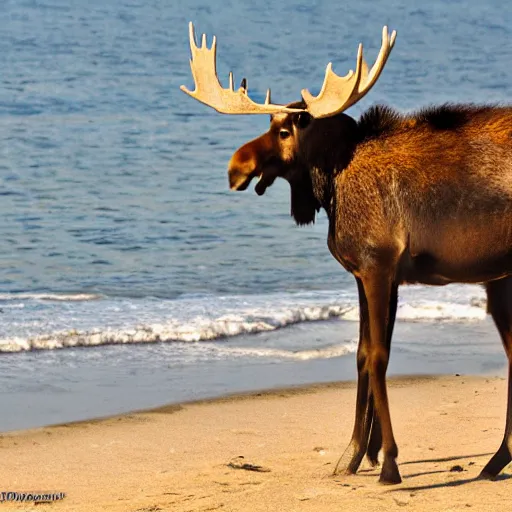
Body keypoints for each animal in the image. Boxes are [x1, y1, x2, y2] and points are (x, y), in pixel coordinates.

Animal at [182, 21, 512, 484]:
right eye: (269, 120)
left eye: (286, 130)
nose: (236, 167)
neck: (331, 185)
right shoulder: (370, 273)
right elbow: (360, 355)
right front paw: (355, 454)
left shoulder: (378, 265)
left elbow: (377, 357)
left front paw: (389, 461)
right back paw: (496, 459)